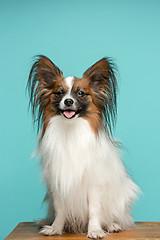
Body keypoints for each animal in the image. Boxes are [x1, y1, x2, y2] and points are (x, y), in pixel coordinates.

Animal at [27, 55, 139, 238]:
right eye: (59, 93)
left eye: (80, 93)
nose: (68, 101)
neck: (70, 129)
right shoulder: (58, 183)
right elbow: (60, 209)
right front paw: (56, 228)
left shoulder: (94, 185)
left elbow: (94, 209)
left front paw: (94, 230)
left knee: (116, 216)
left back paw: (112, 225)